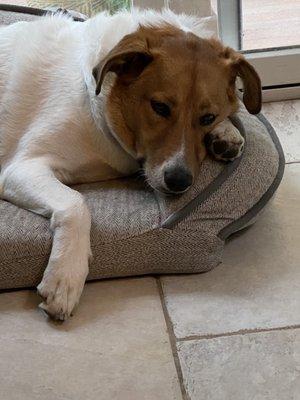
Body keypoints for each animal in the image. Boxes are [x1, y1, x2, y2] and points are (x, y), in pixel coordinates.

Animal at [0, 9, 260, 320]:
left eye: (208, 117)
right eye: (159, 107)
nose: (179, 181)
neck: (101, 112)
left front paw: (226, 133)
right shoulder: (23, 167)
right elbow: (77, 204)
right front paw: (66, 276)